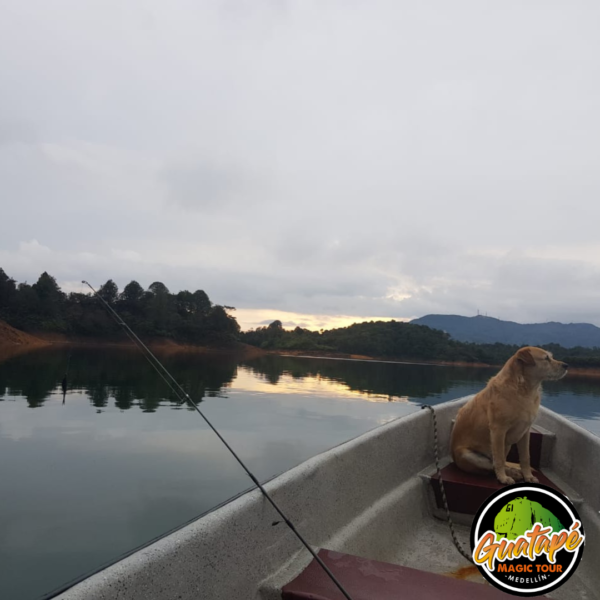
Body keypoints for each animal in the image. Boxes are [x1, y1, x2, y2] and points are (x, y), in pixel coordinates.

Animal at [452, 350, 568, 486]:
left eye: (551, 357)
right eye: (546, 358)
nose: (566, 365)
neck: (524, 389)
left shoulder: (525, 431)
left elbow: (525, 457)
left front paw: (528, 476)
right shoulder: (498, 431)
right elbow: (499, 459)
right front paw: (503, 478)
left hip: (506, 445)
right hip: (467, 454)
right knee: (491, 466)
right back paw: (510, 473)